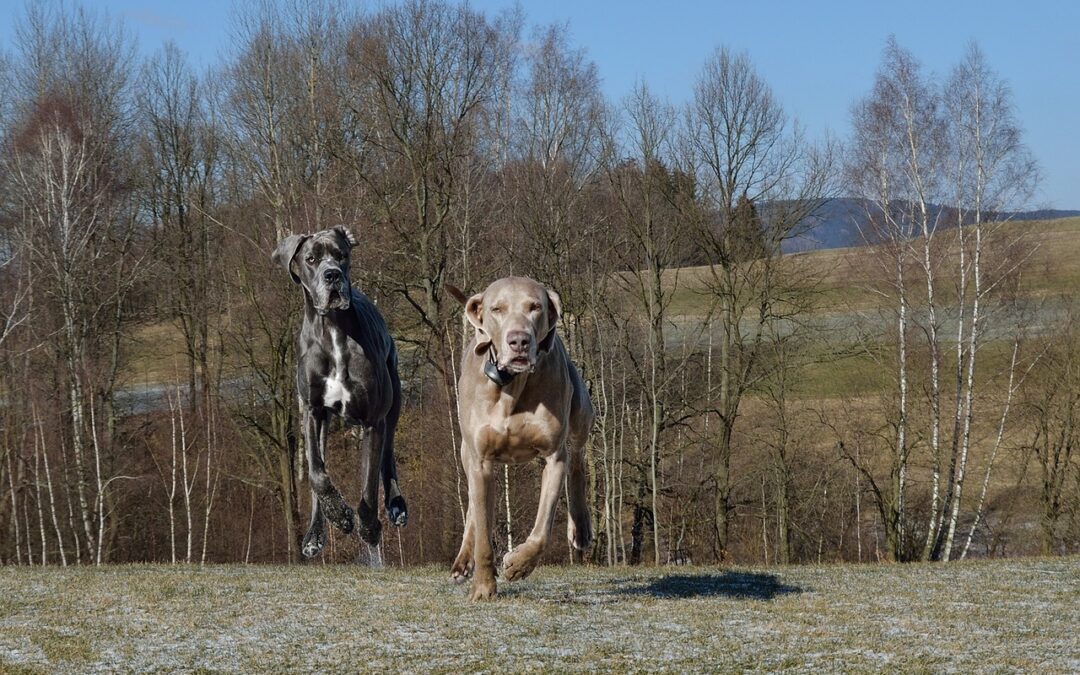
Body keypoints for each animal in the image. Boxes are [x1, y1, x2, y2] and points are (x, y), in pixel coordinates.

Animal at [449, 276, 596, 596]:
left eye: (535, 307)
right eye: (497, 309)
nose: (518, 340)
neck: (511, 385)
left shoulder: (554, 457)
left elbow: (542, 531)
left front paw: (517, 565)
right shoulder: (480, 459)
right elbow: (482, 529)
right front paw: (483, 586)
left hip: (581, 409)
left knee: (578, 459)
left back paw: (581, 527)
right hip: (467, 452)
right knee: (473, 504)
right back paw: (463, 561)